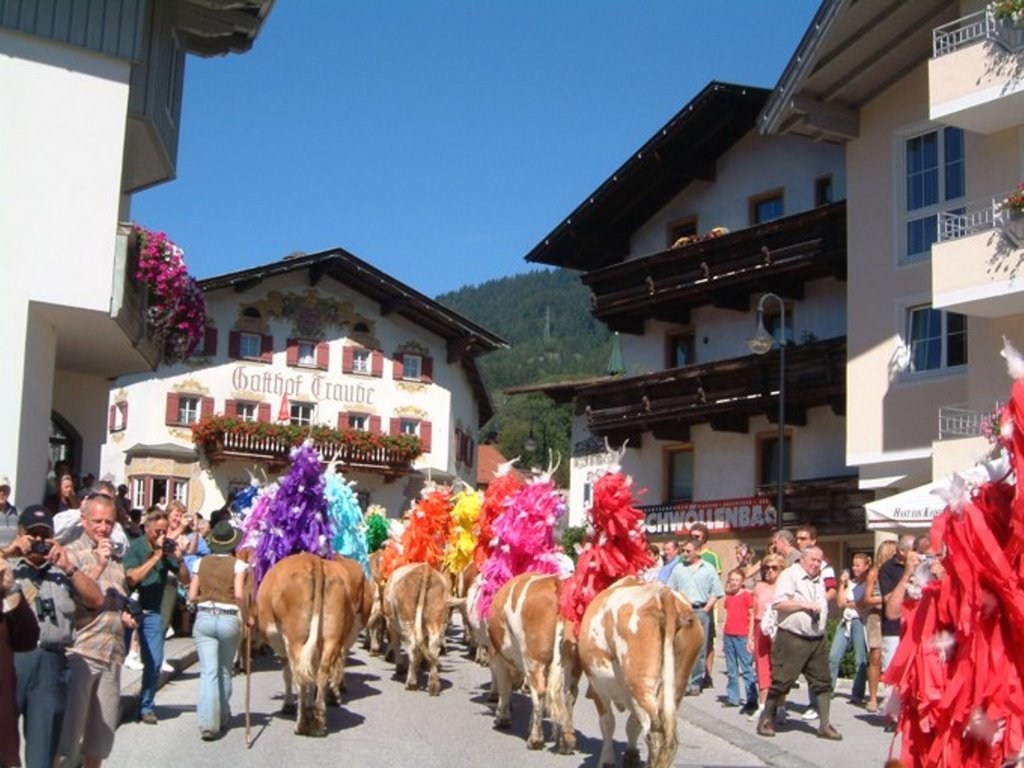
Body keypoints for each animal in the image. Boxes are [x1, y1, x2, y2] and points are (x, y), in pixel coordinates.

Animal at [254, 552, 364, 733]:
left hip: (295, 639)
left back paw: (302, 723)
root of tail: (314, 561)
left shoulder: (281, 645)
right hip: (331, 638)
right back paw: (318, 719)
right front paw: (309, 705)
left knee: (300, 676)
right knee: (321, 672)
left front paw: (289, 705)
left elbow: (287, 674)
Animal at [385, 565, 448, 696]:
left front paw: (399, 667)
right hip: (435, 619)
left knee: (413, 646)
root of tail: (425, 568)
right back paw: (433, 684)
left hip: (406, 621)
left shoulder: (390, 623)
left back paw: (411, 683)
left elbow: (396, 644)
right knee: (433, 647)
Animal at [577, 581, 704, 768]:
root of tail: (664, 594)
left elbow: (608, 724)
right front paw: (631, 755)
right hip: (676, 684)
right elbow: (632, 725)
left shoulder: (599, 689)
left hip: (639, 684)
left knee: (655, 733)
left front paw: (607, 761)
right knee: (663, 732)